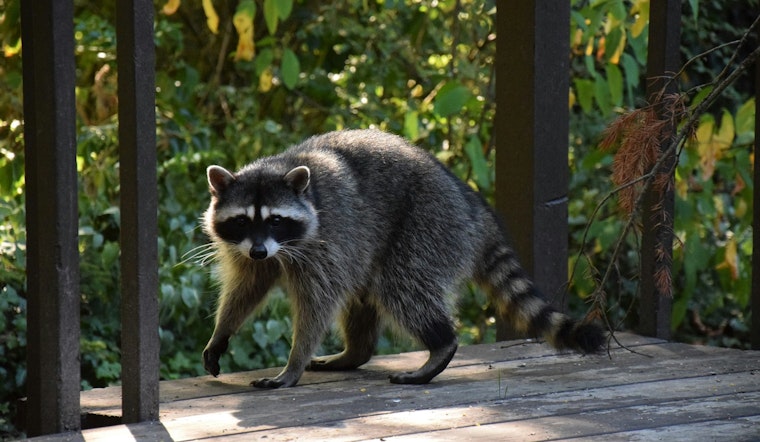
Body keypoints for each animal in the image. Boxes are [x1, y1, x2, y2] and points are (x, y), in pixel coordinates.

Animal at [201, 129, 604, 388]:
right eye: (242, 221)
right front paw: (222, 331)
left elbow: (318, 303)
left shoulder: (327, 239)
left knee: (401, 287)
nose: (259, 250)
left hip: (427, 225)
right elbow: (247, 287)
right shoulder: (252, 249)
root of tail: (471, 205)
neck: (282, 165)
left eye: (275, 220)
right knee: (365, 295)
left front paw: (293, 363)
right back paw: (356, 352)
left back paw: (440, 345)